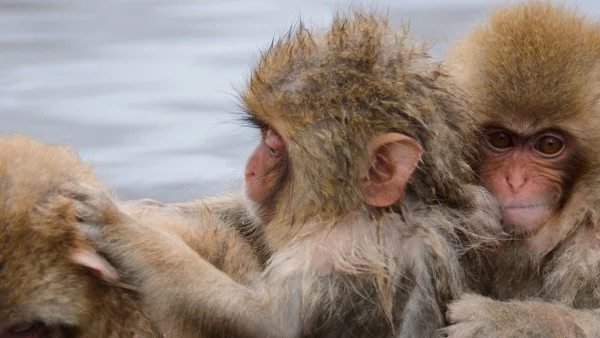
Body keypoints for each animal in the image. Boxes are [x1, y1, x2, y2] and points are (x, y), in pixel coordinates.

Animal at [63, 10, 500, 338]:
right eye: (261, 134)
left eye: (273, 145)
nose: (249, 169)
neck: (376, 212)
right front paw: (144, 211)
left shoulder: (343, 259)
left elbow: (266, 325)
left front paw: (123, 230)